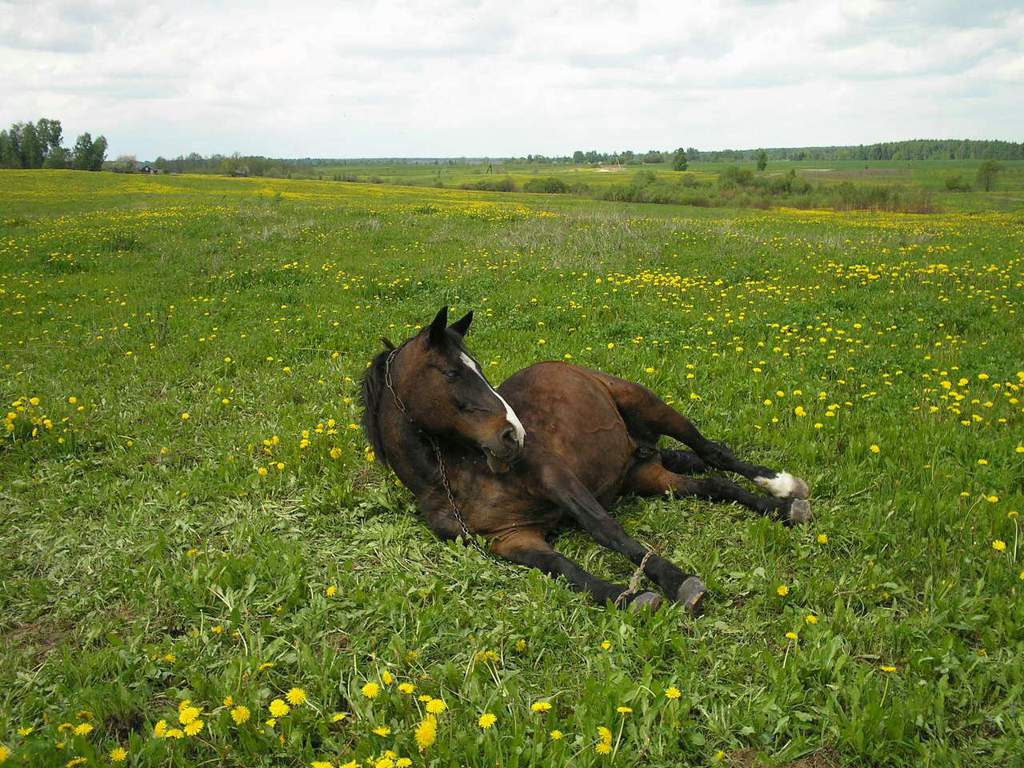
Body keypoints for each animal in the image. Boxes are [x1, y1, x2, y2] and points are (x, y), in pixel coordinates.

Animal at [364, 307, 811, 614]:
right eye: (451, 373)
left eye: (479, 369)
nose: (514, 436)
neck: (455, 477)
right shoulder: (509, 539)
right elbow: (565, 570)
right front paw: (629, 597)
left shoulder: (556, 479)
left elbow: (606, 530)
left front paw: (679, 582)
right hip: (645, 475)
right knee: (710, 483)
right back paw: (780, 508)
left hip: (650, 407)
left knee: (712, 452)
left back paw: (782, 487)